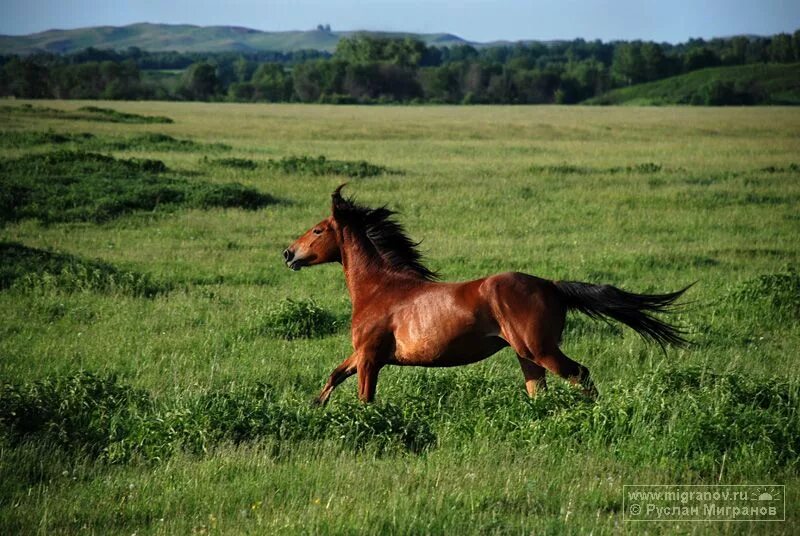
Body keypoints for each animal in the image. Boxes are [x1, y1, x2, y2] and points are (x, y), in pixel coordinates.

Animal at [282, 186, 688, 404]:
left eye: (318, 230)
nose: (288, 254)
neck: (381, 288)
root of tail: (552, 285)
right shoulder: (365, 355)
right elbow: (335, 374)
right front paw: (315, 406)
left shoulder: (370, 358)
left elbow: (364, 399)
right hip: (526, 356)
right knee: (539, 392)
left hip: (541, 350)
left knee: (581, 375)